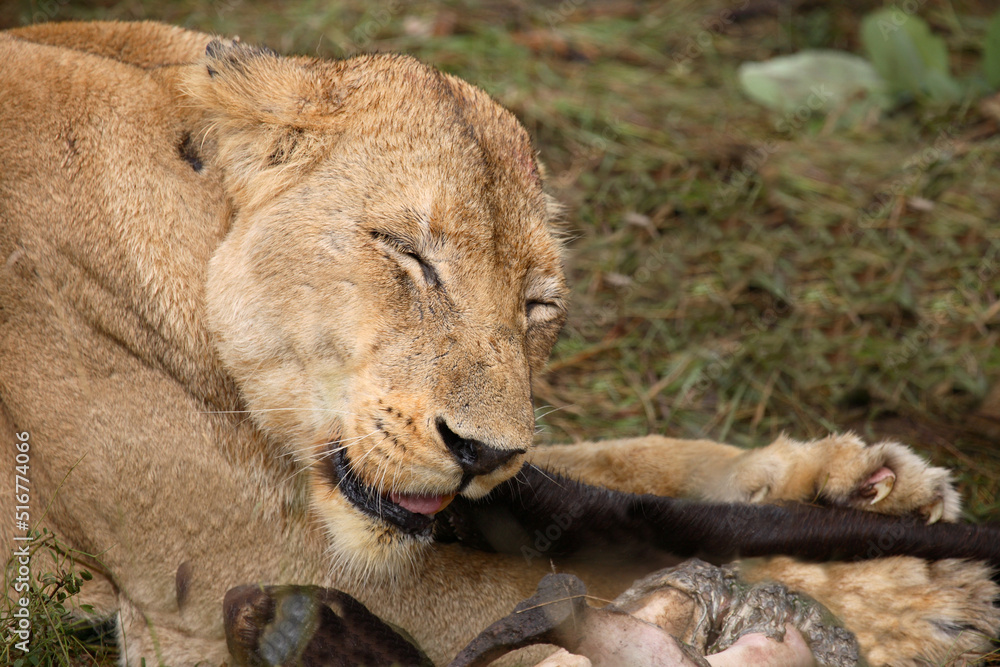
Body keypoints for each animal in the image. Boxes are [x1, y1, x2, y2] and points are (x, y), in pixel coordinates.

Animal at [0, 21, 997, 667]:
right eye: (408, 254)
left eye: (536, 305)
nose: (479, 452)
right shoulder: (225, 575)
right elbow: (533, 591)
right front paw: (926, 608)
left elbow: (630, 463)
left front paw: (863, 481)